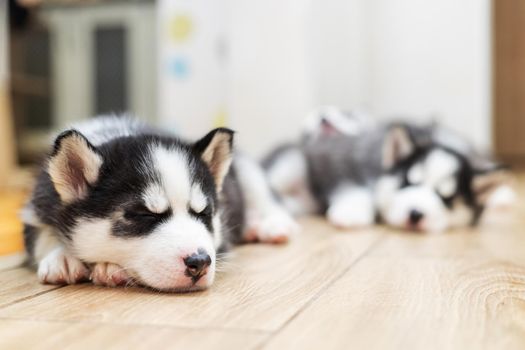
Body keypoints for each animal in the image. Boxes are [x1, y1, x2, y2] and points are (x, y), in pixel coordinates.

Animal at [21, 116, 298, 292]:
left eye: (204, 213)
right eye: (145, 214)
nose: (200, 262)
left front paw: (107, 267)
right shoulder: (37, 204)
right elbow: (41, 234)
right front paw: (62, 257)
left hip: (246, 168)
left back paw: (269, 225)